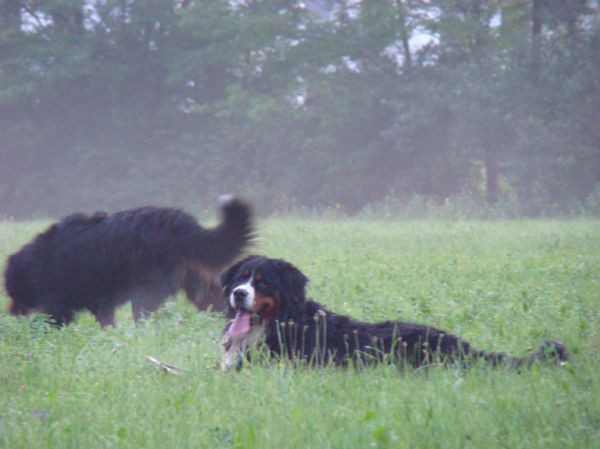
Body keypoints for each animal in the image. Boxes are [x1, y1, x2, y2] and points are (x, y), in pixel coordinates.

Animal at [4, 196, 253, 326]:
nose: (11, 314)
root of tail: (178, 221)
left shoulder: (58, 305)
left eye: (13, 293)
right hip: (198, 283)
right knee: (219, 305)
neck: (39, 263)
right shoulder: (102, 304)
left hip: (146, 291)